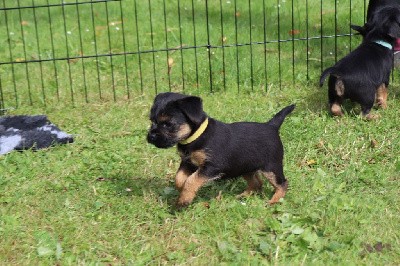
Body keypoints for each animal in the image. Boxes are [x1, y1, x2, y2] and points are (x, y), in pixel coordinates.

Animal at [147, 92, 294, 208]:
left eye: (168, 124)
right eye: (152, 121)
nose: (151, 136)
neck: (197, 136)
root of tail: (271, 126)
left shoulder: (211, 167)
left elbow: (191, 180)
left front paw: (184, 200)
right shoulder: (187, 162)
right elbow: (179, 178)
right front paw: (182, 190)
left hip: (271, 167)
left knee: (282, 184)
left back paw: (273, 201)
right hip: (244, 167)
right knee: (257, 182)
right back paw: (243, 196)